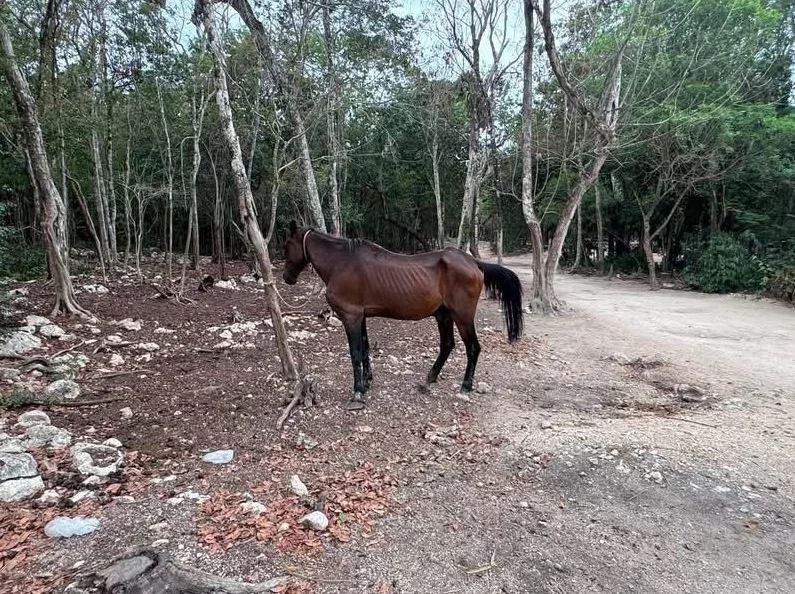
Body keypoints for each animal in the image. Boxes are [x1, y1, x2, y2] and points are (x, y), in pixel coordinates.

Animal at [282, 221, 524, 410]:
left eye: (287, 246)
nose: (286, 278)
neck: (341, 262)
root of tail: (474, 262)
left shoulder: (351, 317)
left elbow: (355, 353)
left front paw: (358, 392)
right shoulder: (361, 316)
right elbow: (365, 348)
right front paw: (367, 382)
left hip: (462, 316)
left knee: (473, 348)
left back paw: (465, 386)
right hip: (443, 315)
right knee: (447, 345)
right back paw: (429, 379)